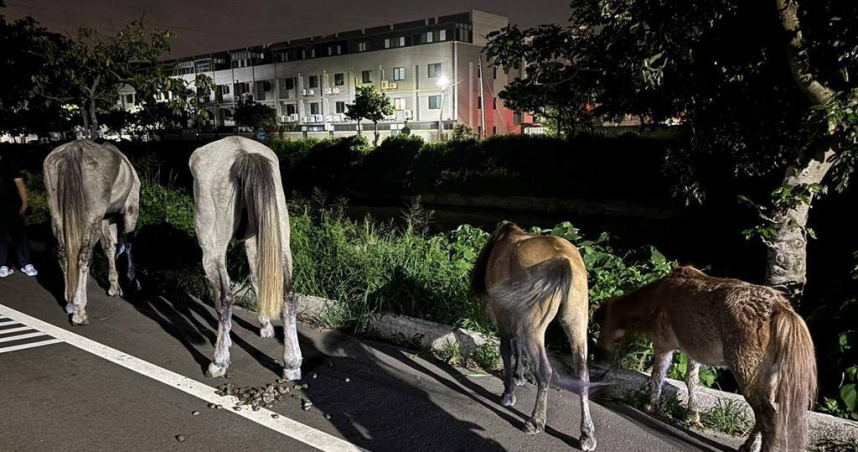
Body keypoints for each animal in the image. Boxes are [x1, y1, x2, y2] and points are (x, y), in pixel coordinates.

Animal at [43, 140, 140, 325]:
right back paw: (79, 310)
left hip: (58, 216)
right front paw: (131, 282)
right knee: (84, 255)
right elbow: (128, 245)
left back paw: (71, 302)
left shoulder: (104, 218)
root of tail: (73, 150)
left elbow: (109, 247)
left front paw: (114, 286)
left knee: (64, 253)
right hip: (94, 216)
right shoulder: (130, 208)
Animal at [189, 136, 302, 381]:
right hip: (279, 235)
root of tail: (242, 154)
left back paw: (218, 362)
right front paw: (265, 325)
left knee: (225, 298)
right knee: (287, 294)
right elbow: (258, 279)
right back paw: (292, 363)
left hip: (212, 246)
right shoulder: (255, 239)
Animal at [471, 222, 597, 451]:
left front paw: (508, 393)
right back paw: (587, 435)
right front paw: (519, 376)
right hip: (576, 323)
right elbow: (518, 345)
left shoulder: (504, 312)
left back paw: (535, 421)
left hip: (534, 327)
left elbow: (507, 349)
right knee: (583, 374)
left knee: (544, 370)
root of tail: (563, 260)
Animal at [594, 266, 816, 452]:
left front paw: (652, 406)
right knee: (764, 413)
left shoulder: (663, 344)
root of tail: (780, 307)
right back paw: (749, 445)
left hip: (746, 372)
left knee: (768, 416)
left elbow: (658, 376)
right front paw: (693, 415)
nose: (598, 351)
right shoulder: (694, 351)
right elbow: (691, 381)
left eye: (600, 323)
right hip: (769, 376)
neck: (656, 295)